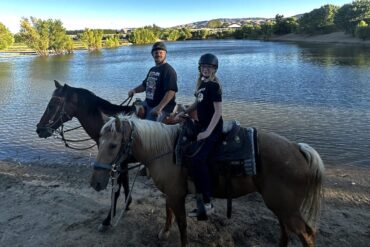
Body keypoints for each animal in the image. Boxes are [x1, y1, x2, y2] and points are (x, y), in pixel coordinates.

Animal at [35, 80, 134, 230]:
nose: (39, 129)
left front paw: (107, 220)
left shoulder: (115, 165)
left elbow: (115, 191)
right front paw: (127, 204)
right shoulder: (122, 164)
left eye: (51, 105)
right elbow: (125, 184)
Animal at [91, 116, 326, 247]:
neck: (166, 151)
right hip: (281, 207)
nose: (96, 183)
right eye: (99, 142)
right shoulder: (171, 193)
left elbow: (182, 224)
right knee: (286, 231)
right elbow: (168, 212)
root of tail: (298, 148)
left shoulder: (176, 195)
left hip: (286, 208)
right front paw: (164, 232)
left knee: (307, 235)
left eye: (113, 145)